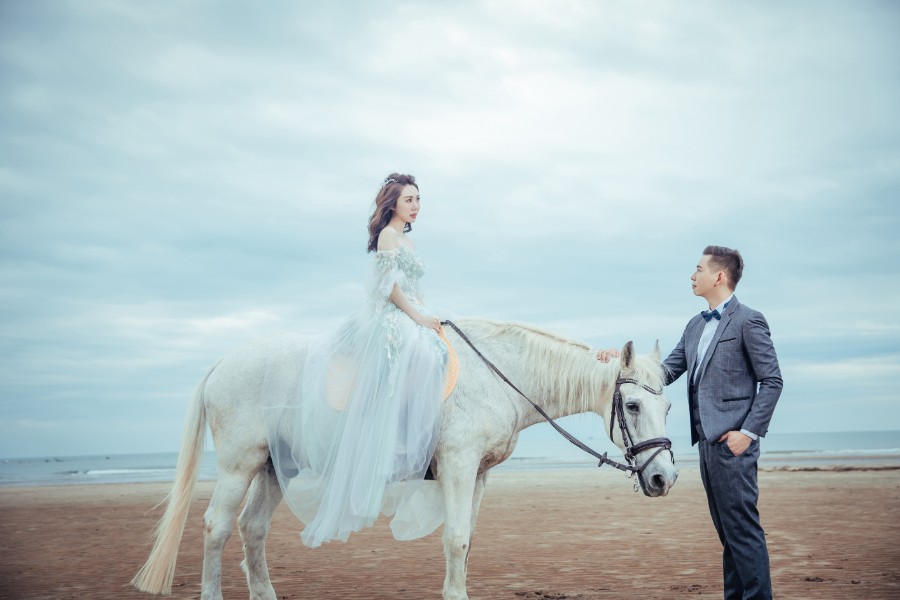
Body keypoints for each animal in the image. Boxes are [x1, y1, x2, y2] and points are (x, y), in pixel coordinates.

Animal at [126, 316, 676, 596]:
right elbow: (455, 541)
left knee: (252, 529)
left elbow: (466, 544)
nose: (664, 479)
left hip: (274, 470)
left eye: (668, 405)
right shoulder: (457, 467)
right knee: (217, 528)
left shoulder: (477, 476)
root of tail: (223, 360)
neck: (496, 375)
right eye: (632, 405)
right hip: (239, 466)